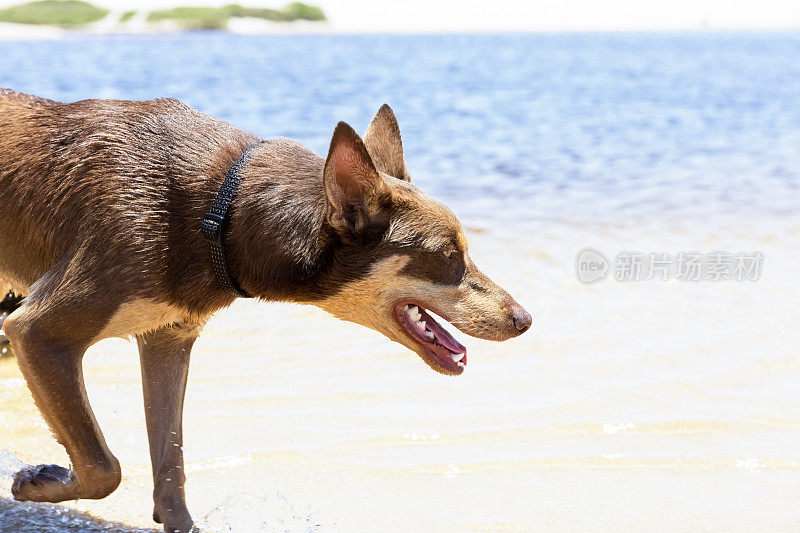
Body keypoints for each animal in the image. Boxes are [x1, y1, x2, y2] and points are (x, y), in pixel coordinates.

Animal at [0, 89, 532, 528]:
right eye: (448, 256)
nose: (524, 319)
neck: (220, 214)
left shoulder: (168, 340)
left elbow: (170, 464)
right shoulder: (36, 332)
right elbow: (103, 467)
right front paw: (37, 480)